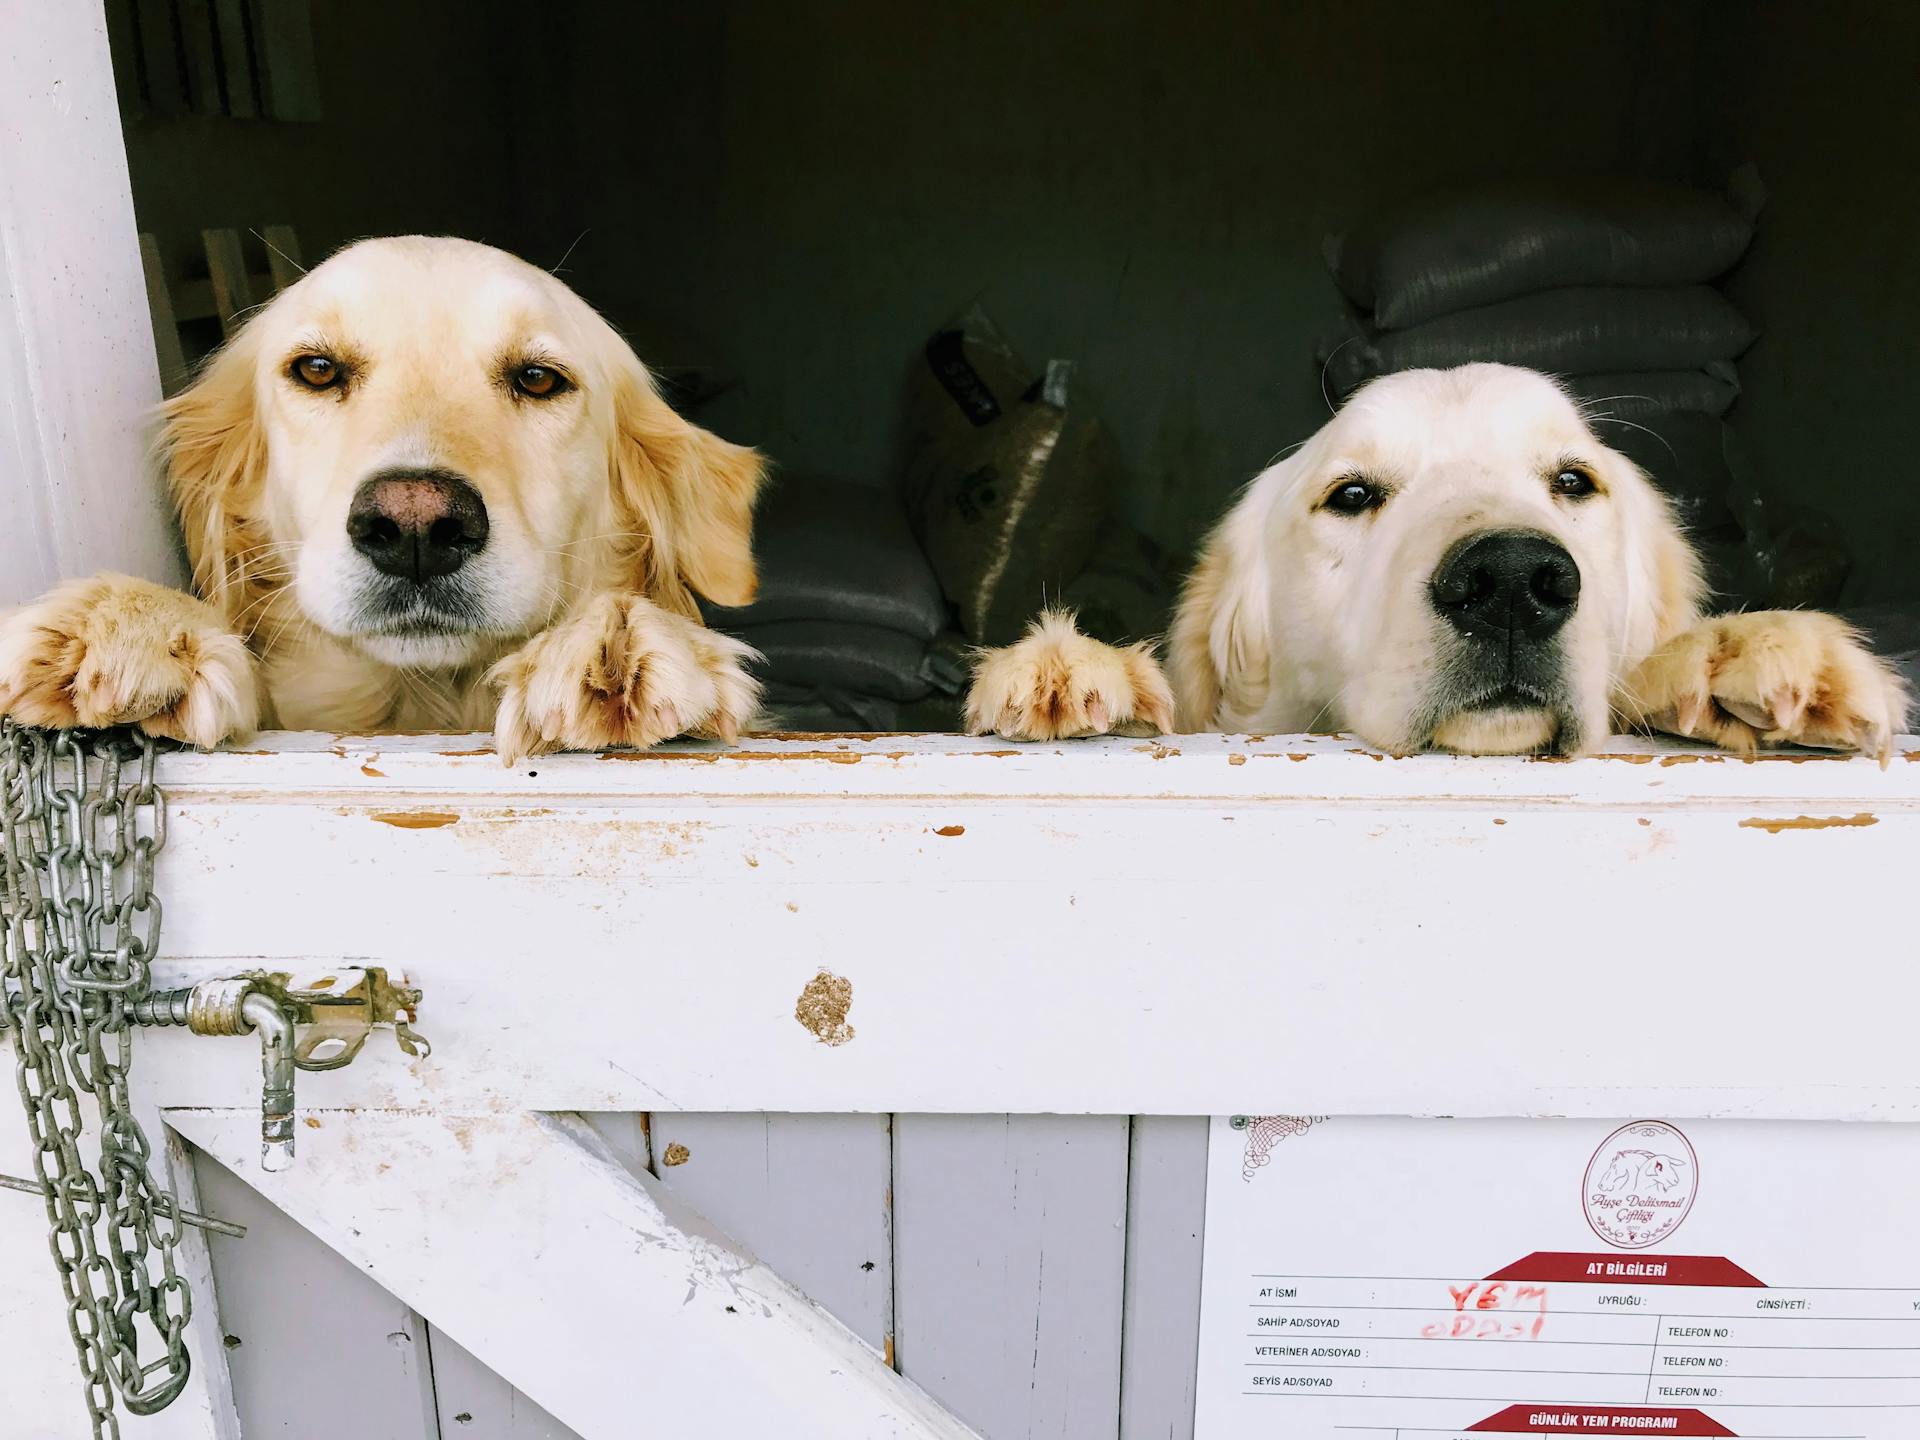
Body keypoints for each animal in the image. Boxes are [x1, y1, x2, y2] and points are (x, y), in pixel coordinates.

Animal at [0, 234, 764, 768]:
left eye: (540, 378)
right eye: (316, 369)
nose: (415, 524)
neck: (424, 705)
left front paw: (617, 640)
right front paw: (135, 623)